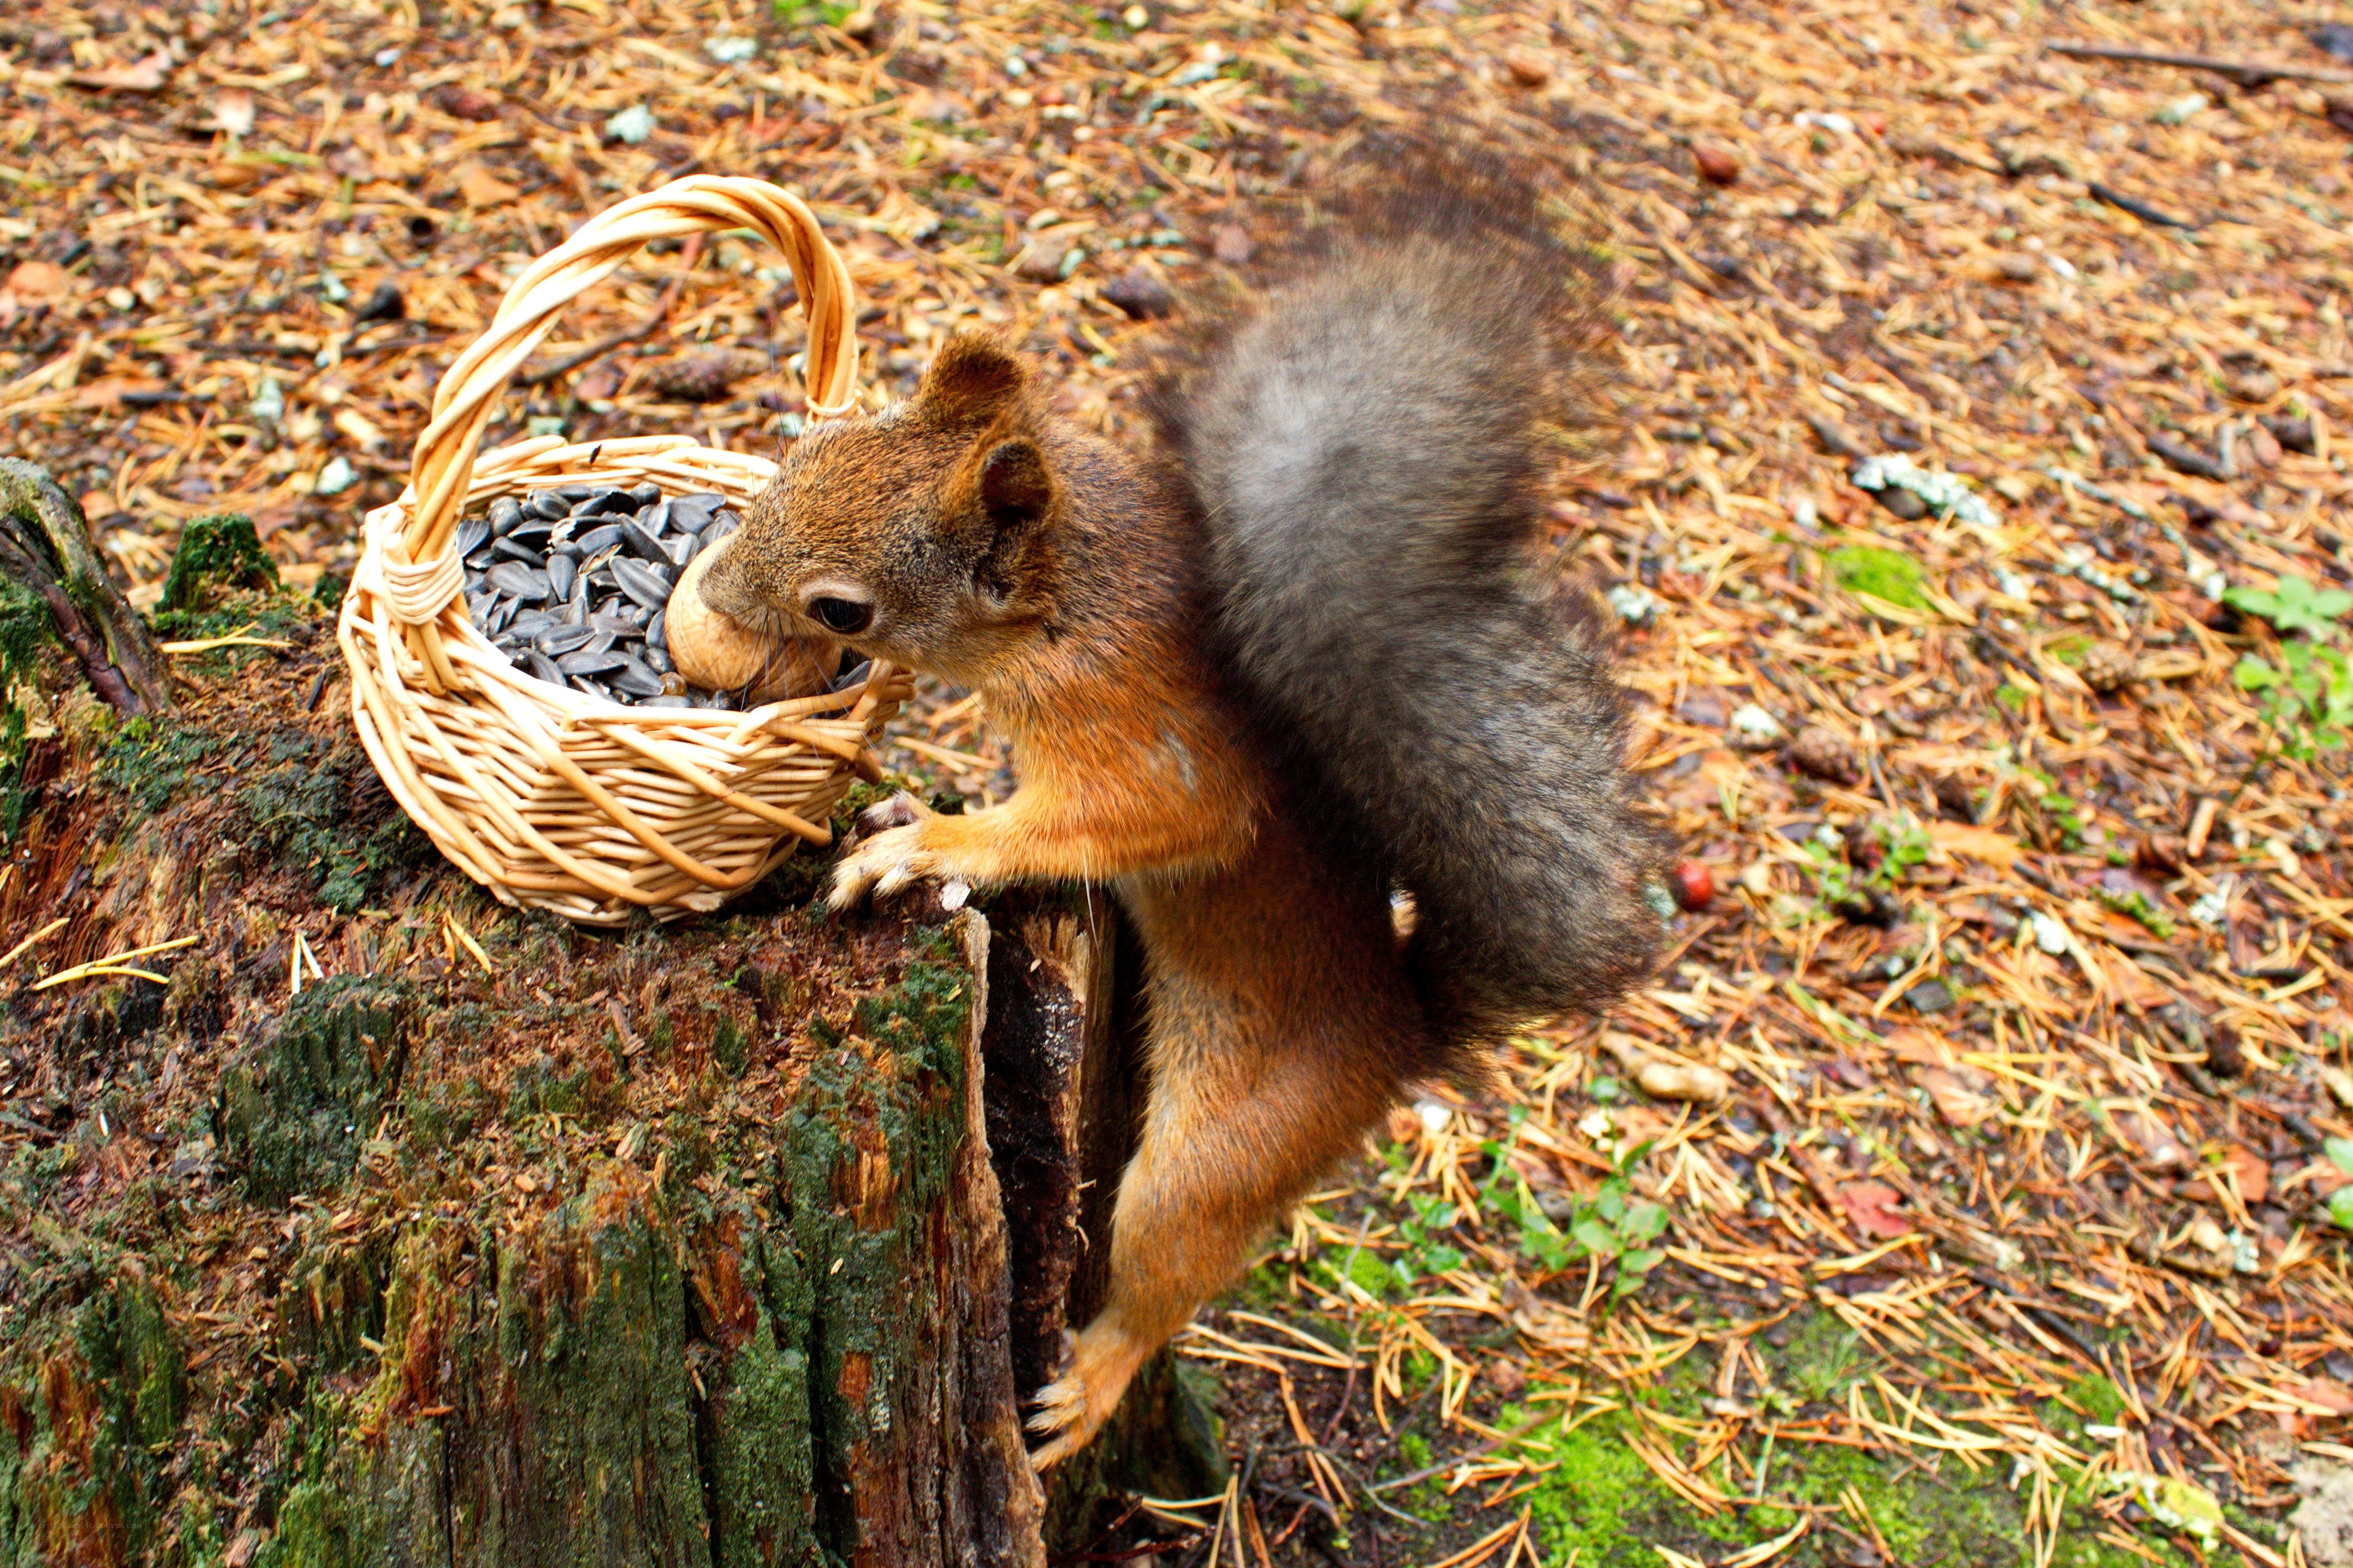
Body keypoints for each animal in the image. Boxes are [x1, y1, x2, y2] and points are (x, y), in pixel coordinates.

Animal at [701, 151, 1663, 1466]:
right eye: (799, 460)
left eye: (842, 607)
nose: (711, 595)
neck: (1063, 600)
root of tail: (1396, 1035)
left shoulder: (1142, 741)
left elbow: (1134, 819)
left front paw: (928, 843)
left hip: (1220, 1151)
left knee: (1165, 1268)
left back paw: (1089, 1381)